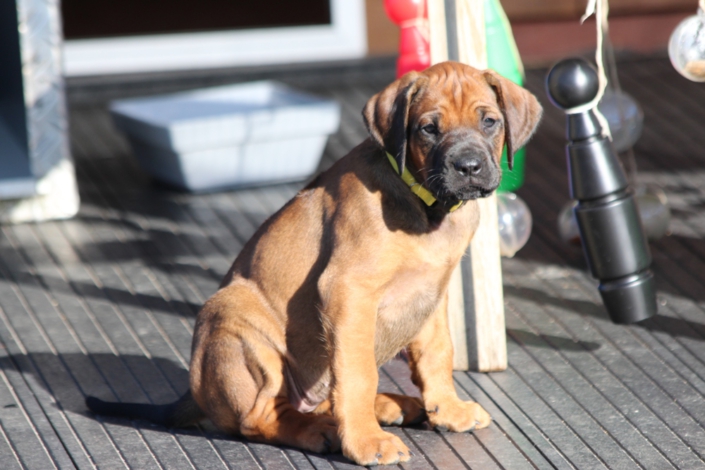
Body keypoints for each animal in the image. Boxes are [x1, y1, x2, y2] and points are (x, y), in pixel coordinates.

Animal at [86, 61, 542, 466]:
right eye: (429, 129)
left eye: (489, 122)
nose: (468, 167)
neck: (428, 208)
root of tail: (197, 393)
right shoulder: (348, 291)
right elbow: (358, 373)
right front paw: (367, 444)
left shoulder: (432, 292)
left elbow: (437, 354)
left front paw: (447, 410)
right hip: (235, 322)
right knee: (262, 417)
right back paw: (324, 429)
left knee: (322, 398)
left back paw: (387, 406)